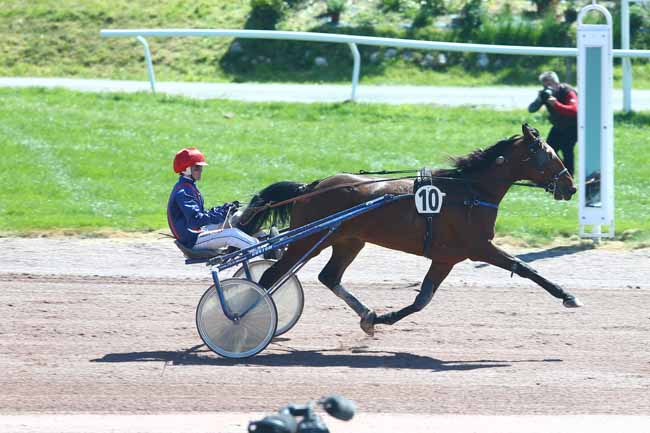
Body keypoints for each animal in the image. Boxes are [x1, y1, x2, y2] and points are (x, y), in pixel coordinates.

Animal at [237, 124, 581, 336]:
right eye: (550, 155)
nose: (571, 186)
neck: (470, 191)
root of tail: (310, 186)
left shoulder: (446, 258)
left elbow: (422, 300)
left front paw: (381, 318)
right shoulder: (478, 248)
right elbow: (524, 268)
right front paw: (567, 295)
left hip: (348, 240)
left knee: (329, 277)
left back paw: (366, 314)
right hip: (308, 239)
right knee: (271, 276)